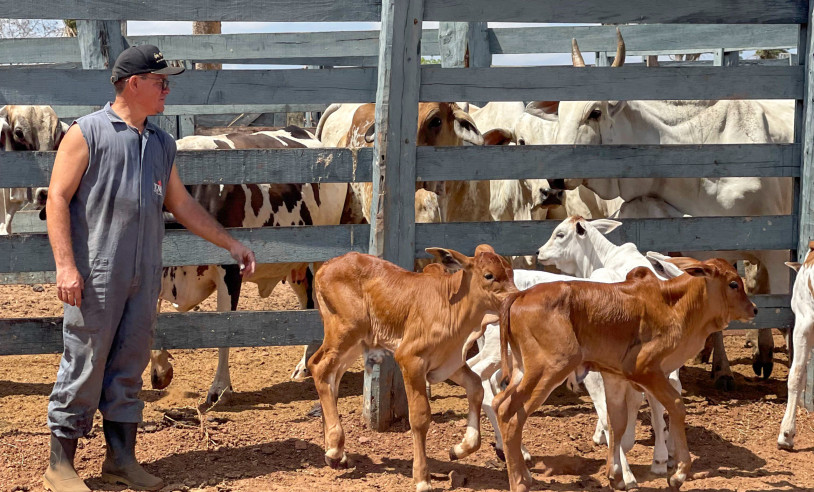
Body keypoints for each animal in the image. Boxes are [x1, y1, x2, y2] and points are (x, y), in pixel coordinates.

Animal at [151, 127, 350, 404]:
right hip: (295, 267)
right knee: (308, 303)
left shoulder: (230, 274)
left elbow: (224, 331)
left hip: (320, 258)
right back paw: (305, 364)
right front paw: (160, 370)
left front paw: (220, 388)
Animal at [306, 245, 516, 492]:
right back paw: (334, 449)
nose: (515, 296)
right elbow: (420, 417)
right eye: (489, 275)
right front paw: (422, 478)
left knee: (332, 376)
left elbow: (475, 387)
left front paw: (460, 448)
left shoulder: (449, 363)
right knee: (319, 368)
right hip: (345, 331)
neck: (452, 307)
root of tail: (327, 265)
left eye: (511, 273)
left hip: (356, 341)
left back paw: (335, 451)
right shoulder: (410, 360)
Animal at [494, 258, 760, 492]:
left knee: (499, 404)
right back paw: (519, 481)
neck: (672, 305)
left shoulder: (616, 377)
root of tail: (520, 296)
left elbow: (617, 423)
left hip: (522, 371)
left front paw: (616, 477)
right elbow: (676, 406)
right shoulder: (646, 369)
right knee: (511, 413)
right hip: (550, 369)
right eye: (734, 284)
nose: (754, 309)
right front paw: (678, 475)